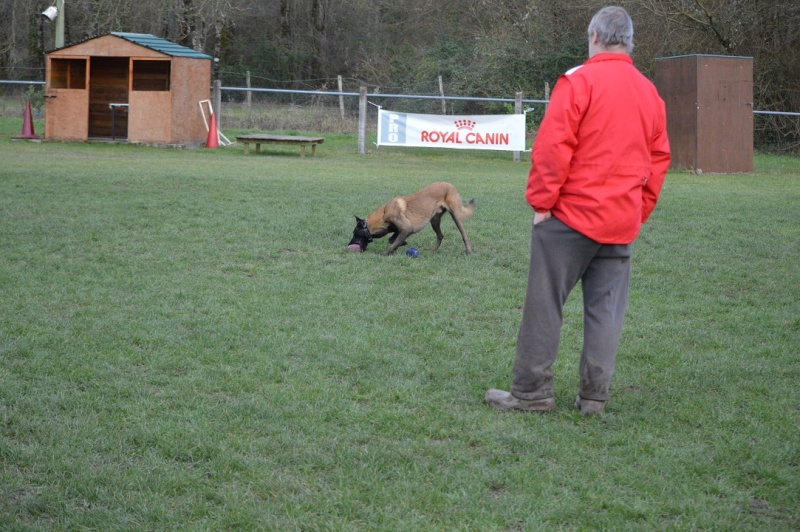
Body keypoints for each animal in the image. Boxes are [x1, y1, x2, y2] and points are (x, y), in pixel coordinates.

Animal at [346, 183, 476, 256]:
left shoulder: (406, 228)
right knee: (440, 235)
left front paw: (386, 253)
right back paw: (433, 251)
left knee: (464, 236)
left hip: (456, 217)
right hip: (434, 220)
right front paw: (401, 245)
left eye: (354, 233)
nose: (349, 245)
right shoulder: (400, 230)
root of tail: (451, 185)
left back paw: (469, 252)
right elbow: (392, 240)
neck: (383, 214)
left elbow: (392, 244)